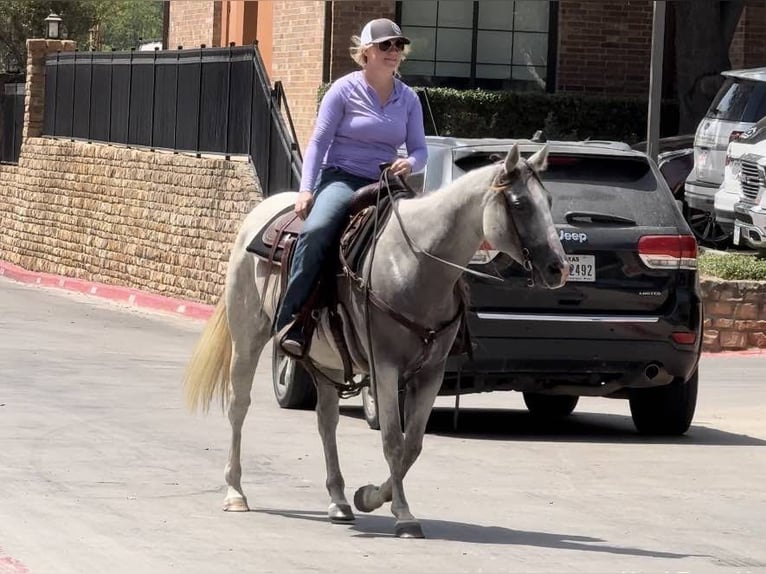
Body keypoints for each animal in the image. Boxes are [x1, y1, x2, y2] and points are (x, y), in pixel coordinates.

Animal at [183, 143, 569, 538]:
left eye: (549, 200)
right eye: (519, 204)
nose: (559, 268)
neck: (415, 263)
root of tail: (262, 211)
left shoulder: (430, 374)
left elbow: (413, 445)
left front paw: (368, 497)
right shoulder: (385, 366)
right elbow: (393, 441)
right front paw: (403, 515)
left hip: (325, 361)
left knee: (326, 421)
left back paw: (338, 501)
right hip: (248, 336)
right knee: (239, 406)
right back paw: (235, 492)